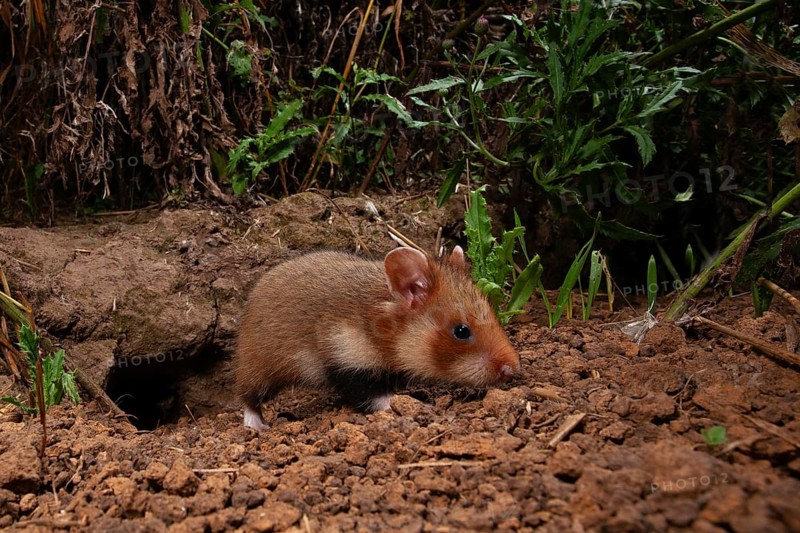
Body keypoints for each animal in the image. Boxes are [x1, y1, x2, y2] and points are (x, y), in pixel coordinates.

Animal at [234, 246, 519, 430]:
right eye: (461, 331)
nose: (513, 370)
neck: (383, 330)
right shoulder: (348, 360)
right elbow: (377, 398)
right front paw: (419, 407)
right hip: (259, 367)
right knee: (247, 397)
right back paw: (257, 426)